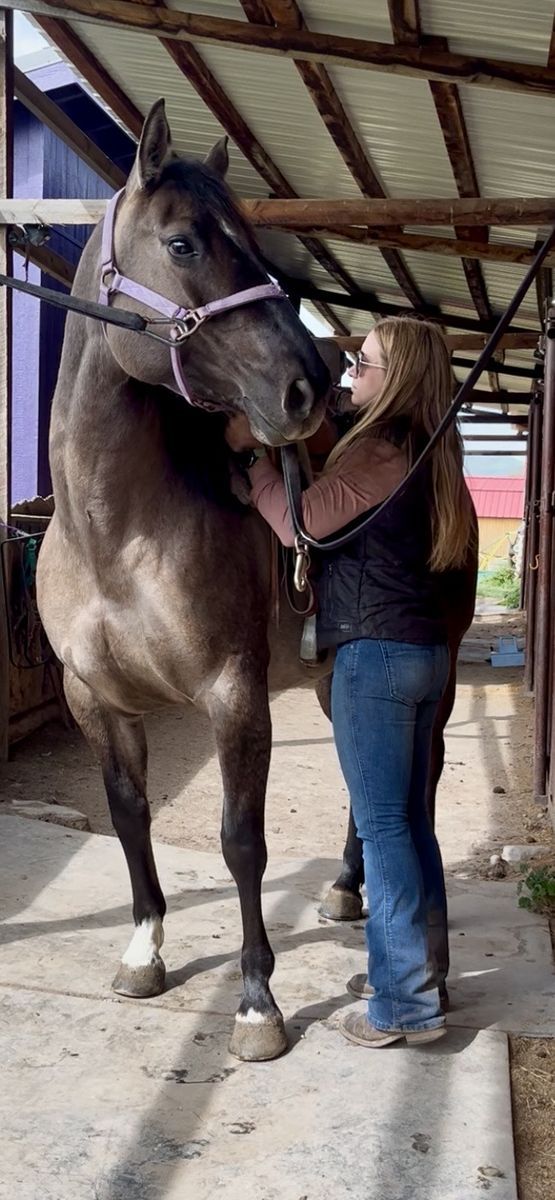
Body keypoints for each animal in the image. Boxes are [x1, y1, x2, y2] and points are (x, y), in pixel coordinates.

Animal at [37, 100, 331, 1063]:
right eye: (183, 243)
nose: (309, 386)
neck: (115, 535)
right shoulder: (94, 698)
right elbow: (129, 817)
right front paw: (142, 952)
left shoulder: (234, 692)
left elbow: (242, 842)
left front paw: (256, 1005)